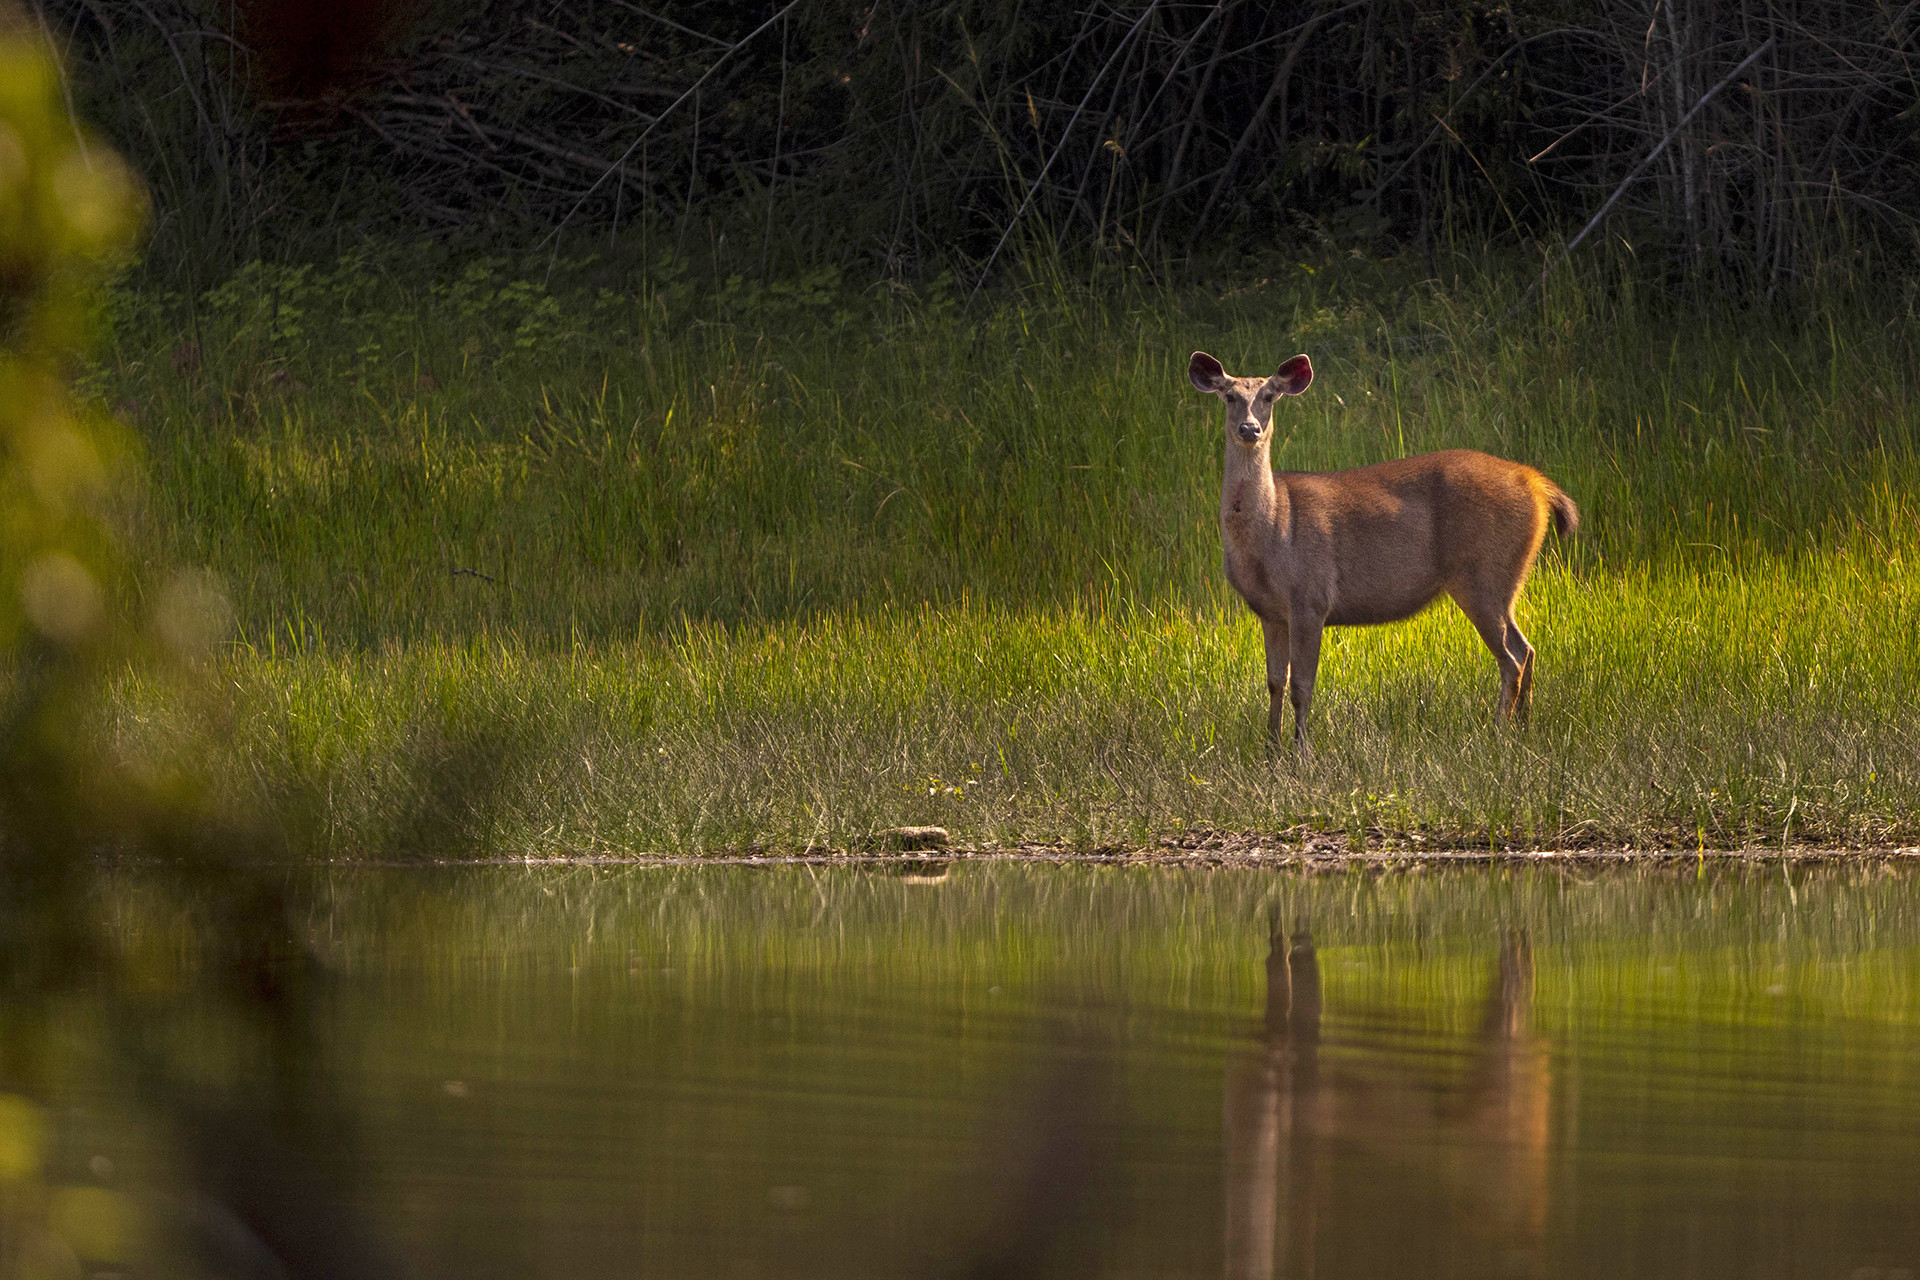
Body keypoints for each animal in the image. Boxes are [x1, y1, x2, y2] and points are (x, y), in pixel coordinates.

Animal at [1187, 350, 1577, 753]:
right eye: (1230, 396)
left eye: (1268, 396)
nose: (1250, 429)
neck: (1272, 531)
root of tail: (1537, 484)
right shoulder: (1270, 612)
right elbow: (1275, 683)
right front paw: (1271, 749)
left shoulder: (1310, 597)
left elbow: (1301, 686)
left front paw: (1301, 752)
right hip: (1503, 581)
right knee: (1526, 648)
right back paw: (1524, 727)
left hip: (1484, 573)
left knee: (1512, 657)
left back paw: (1498, 732)